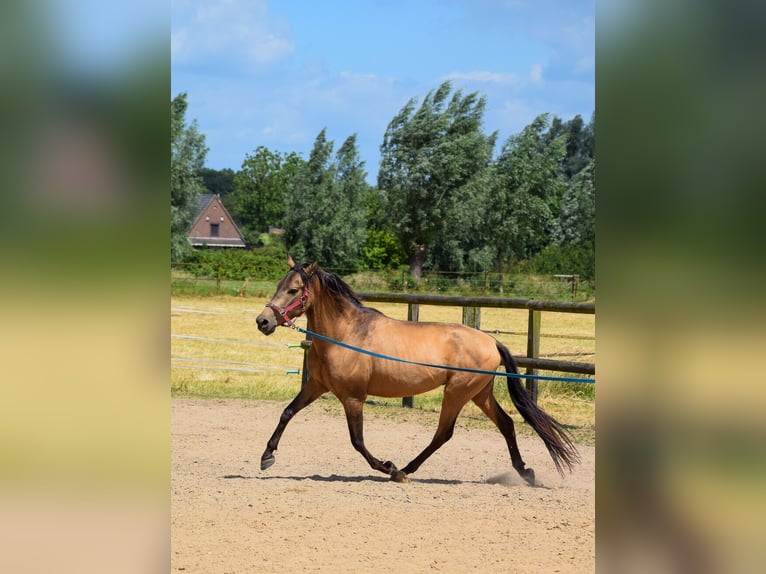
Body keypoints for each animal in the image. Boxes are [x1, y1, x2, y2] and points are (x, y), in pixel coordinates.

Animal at [255, 256, 580, 486]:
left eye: (294, 289)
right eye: (278, 285)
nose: (263, 321)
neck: (346, 333)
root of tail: (491, 341)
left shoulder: (353, 397)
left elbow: (357, 441)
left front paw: (388, 467)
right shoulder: (317, 386)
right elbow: (287, 412)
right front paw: (267, 456)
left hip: (457, 392)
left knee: (443, 433)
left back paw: (406, 469)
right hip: (479, 393)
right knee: (506, 424)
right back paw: (525, 472)